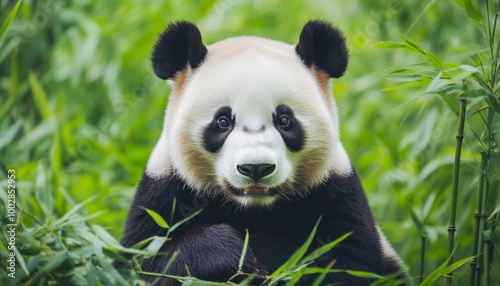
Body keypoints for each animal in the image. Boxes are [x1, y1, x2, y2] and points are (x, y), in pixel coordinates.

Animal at [117, 20, 410, 286]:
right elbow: (147, 263)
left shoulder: (335, 190)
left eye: (284, 120)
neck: (252, 209)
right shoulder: (165, 189)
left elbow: (345, 266)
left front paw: (262, 252)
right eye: (223, 121)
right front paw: (232, 253)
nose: (255, 168)